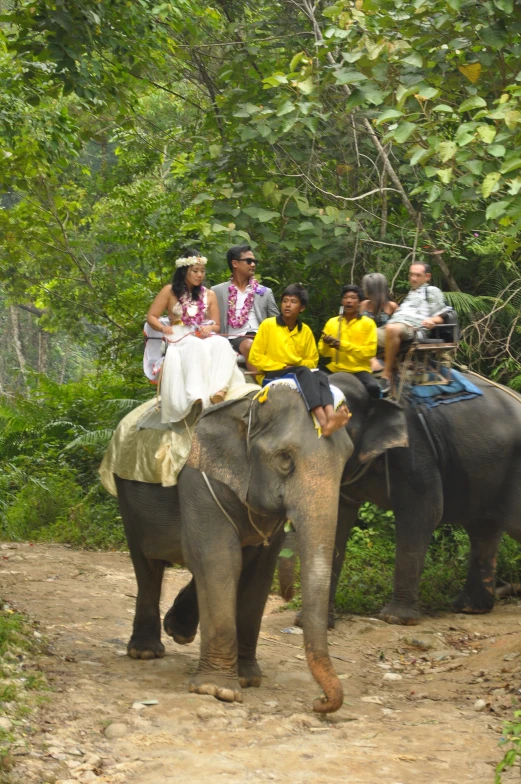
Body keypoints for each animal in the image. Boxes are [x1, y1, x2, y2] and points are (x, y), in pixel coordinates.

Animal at [115, 386, 352, 712]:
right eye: (284, 459)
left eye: (346, 462)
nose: (320, 702)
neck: (248, 409)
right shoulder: (199, 479)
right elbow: (217, 558)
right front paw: (217, 690)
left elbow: (258, 572)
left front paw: (247, 679)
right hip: (126, 491)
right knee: (148, 565)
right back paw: (146, 652)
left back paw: (178, 630)